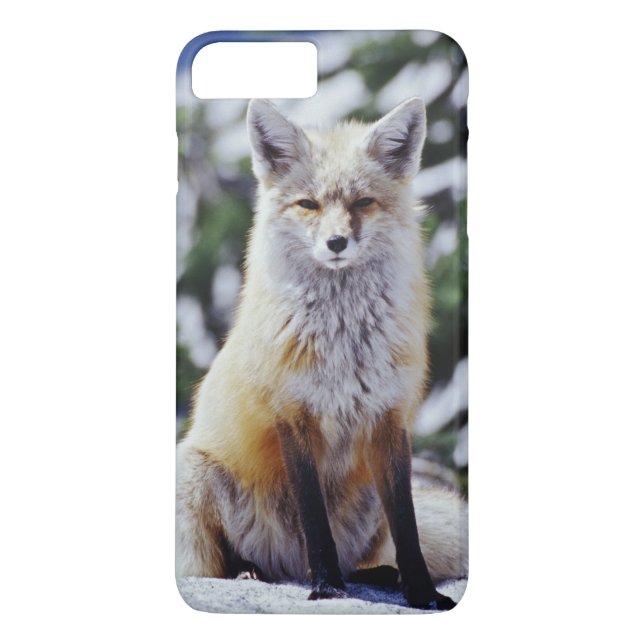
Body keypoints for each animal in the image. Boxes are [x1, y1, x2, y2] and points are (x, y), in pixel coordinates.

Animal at [176, 97, 468, 611]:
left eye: (362, 202)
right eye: (308, 204)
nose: (336, 243)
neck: (343, 345)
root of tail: (287, 566)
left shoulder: (390, 418)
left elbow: (408, 527)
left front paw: (422, 592)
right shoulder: (293, 416)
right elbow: (314, 521)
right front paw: (328, 588)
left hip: (367, 501)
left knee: (368, 557)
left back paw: (381, 575)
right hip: (193, 473)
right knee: (219, 564)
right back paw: (252, 571)